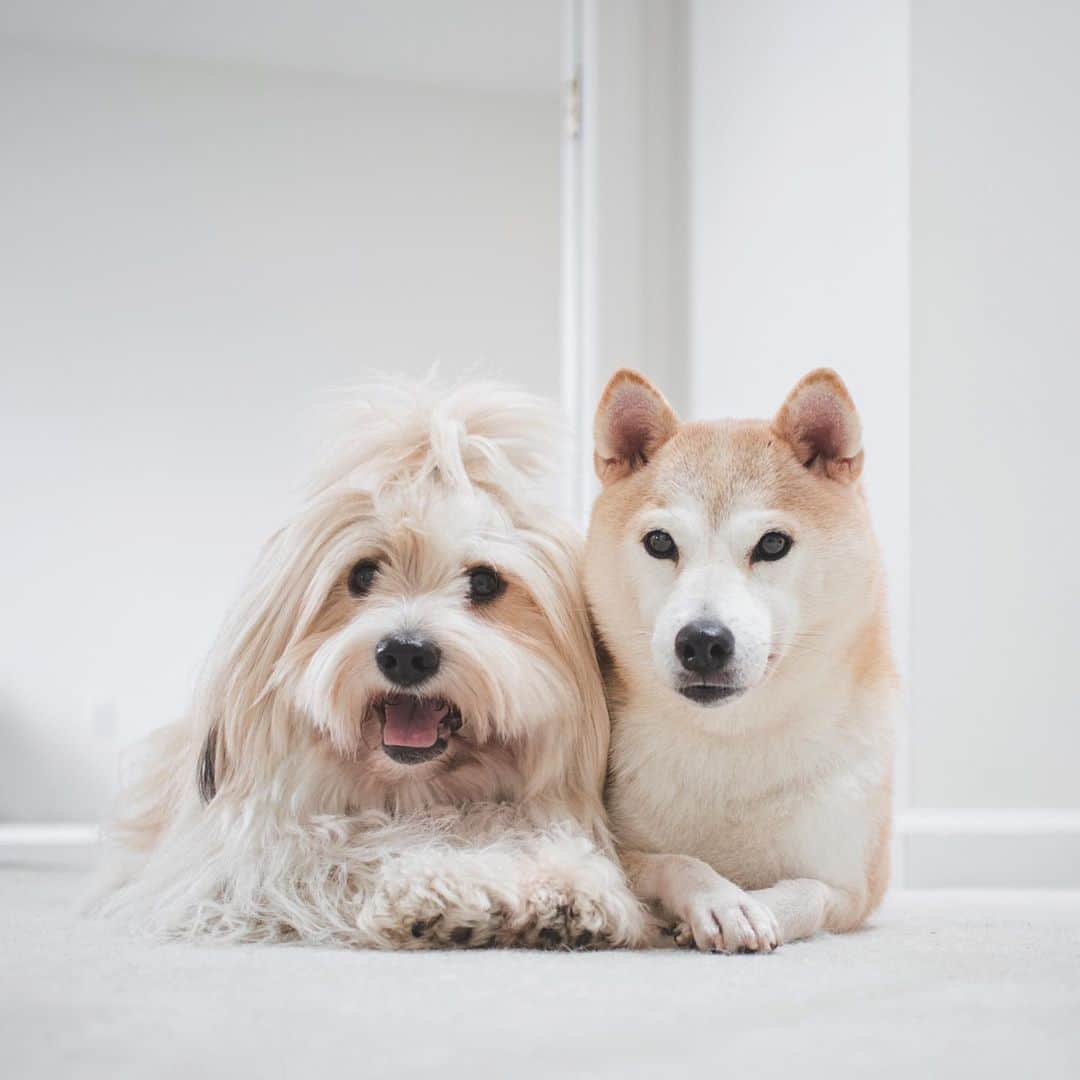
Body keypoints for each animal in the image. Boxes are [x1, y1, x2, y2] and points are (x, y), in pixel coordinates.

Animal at [92, 378, 643, 946]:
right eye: (362, 574)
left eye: (486, 581)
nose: (405, 654)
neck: (414, 795)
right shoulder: (245, 868)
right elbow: (353, 848)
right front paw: (446, 887)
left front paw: (561, 886)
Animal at [587, 371, 898, 954]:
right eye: (659, 542)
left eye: (773, 544)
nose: (702, 641)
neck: (730, 744)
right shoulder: (609, 849)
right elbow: (676, 860)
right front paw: (720, 900)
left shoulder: (853, 887)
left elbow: (806, 892)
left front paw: (756, 907)